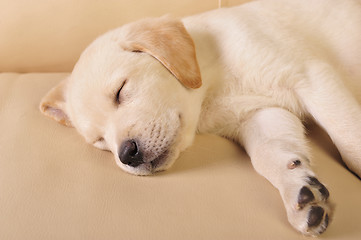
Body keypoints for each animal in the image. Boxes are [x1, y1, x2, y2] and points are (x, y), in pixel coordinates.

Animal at [39, 0, 360, 236]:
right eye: (99, 140)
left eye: (121, 91)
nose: (127, 154)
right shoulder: (262, 114)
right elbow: (270, 154)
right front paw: (299, 191)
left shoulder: (311, 76)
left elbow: (349, 138)